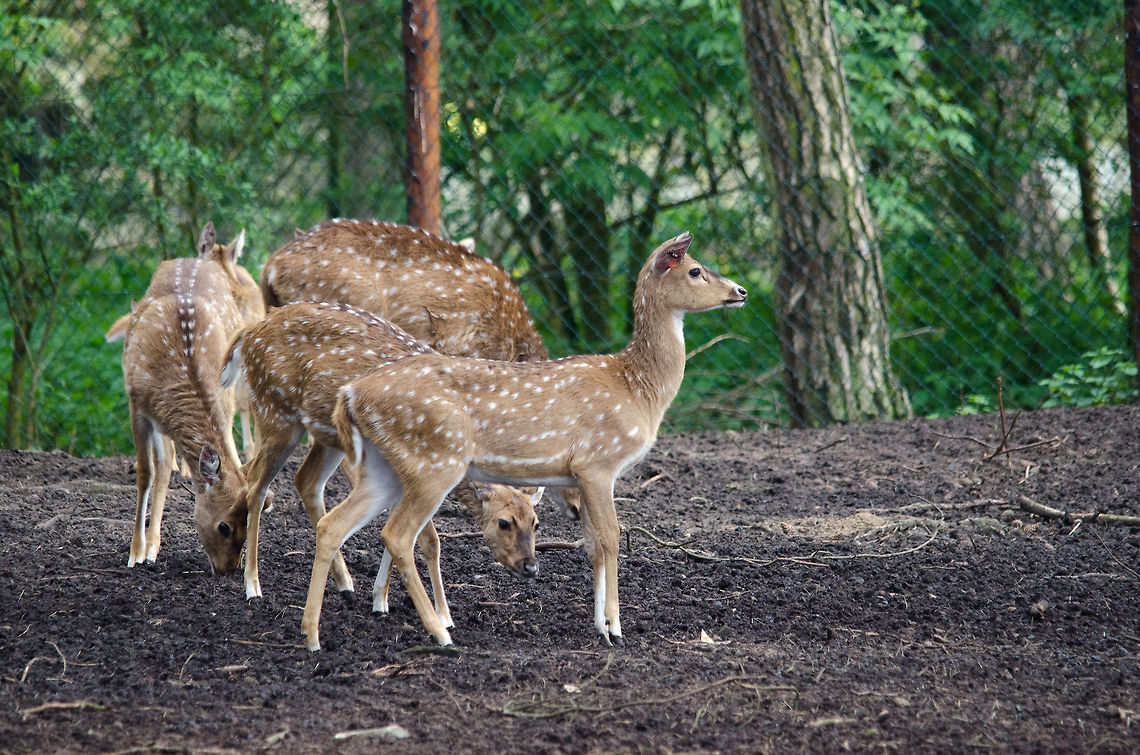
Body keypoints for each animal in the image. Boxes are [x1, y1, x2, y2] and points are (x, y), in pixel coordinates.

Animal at [120, 223, 261, 571]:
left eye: (248, 522)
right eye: (223, 526)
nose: (228, 570)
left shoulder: (221, 395)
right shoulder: (136, 404)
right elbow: (145, 473)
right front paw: (134, 552)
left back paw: (154, 545)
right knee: (161, 465)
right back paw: (148, 547)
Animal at [218, 301, 539, 622]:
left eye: (536, 523)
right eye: (504, 523)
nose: (530, 566)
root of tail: (248, 333)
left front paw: (380, 599)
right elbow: (429, 540)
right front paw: (443, 617)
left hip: (325, 435)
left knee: (303, 481)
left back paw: (345, 583)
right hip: (276, 413)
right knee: (256, 484)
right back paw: (252, 585)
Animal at [301, 232, 747, 650]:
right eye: (695, 269)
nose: (741, 291)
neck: (637, 389)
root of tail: (351, 393)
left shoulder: (578, 476)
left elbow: (591, 545)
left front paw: (599, 625)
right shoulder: (598, 462)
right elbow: (611, 537)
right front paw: (616, 628)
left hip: (386, 465)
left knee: (333, 524)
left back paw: (312, 634)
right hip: (434, 460)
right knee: (396, 534)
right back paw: (440, 632)